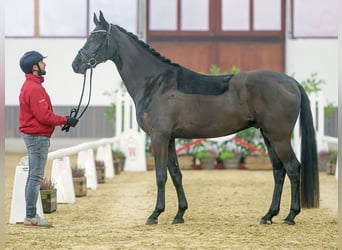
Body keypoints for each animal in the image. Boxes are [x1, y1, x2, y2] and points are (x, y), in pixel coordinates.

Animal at [71, 11, 320, 226]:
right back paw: (269, 215)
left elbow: (160, 175)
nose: (76, 64)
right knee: (279, 171)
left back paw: (290, 216)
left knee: (293, 168)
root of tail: (291, 83)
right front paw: (179, 214)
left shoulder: (159, 137)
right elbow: (176, 174)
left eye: (97, 37)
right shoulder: (169, 139)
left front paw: (155, 214)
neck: (156, 83)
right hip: (268, 137)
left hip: (278, 137)